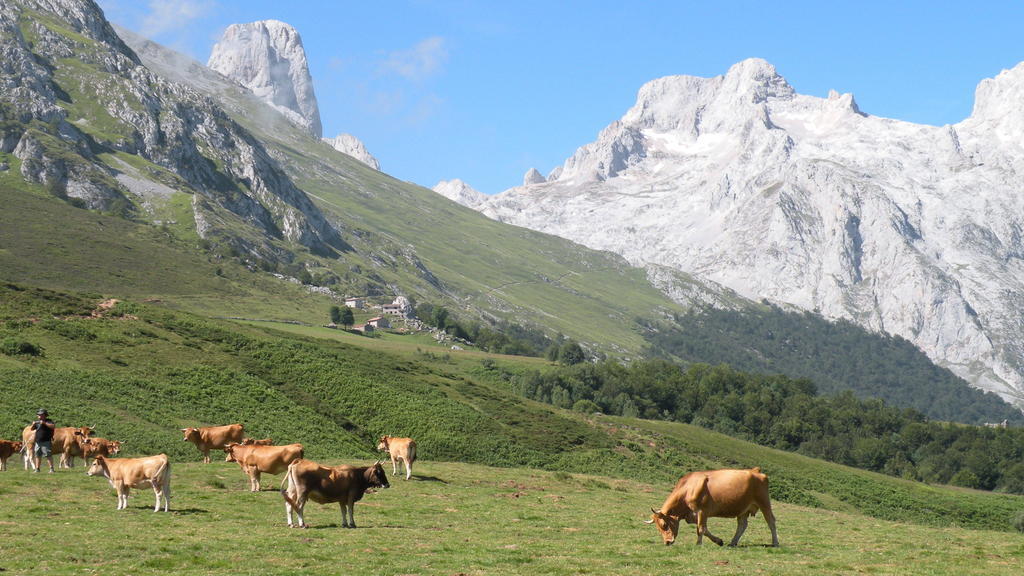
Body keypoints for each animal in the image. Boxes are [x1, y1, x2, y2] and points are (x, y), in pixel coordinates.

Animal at [643, 463, 778, 545]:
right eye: (658, 528)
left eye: (664, 524)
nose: (667, 542)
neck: (688, 488)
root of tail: (755, 471)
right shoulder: (694, 515)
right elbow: (704, 529)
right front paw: (718, 541)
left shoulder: (702, 511)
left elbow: (701, 529)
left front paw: (698, 544)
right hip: (743, 509)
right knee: (742, 525)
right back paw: (733, 542)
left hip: (764, 503)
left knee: (771, 521)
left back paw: (775, 542)